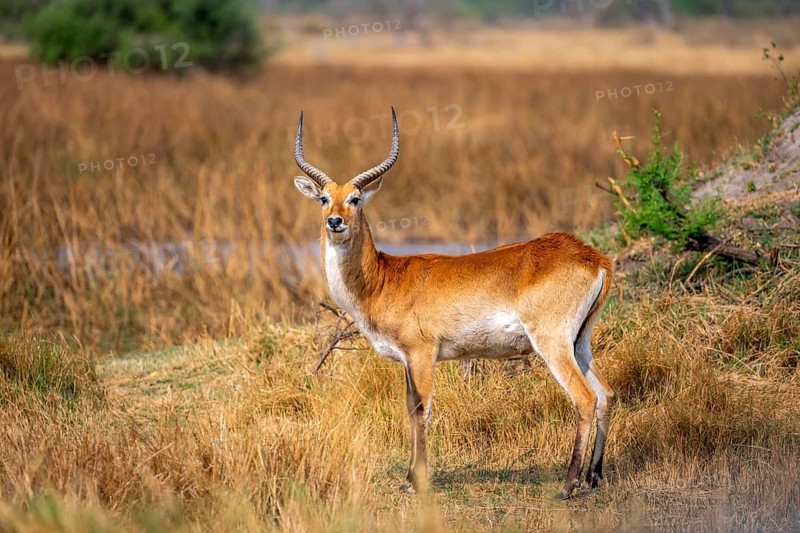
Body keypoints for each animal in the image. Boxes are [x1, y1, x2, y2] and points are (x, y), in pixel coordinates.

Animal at [293, 108, 614, 499]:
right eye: (324, 198)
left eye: (355, 198)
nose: (335, 221)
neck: (383, 278)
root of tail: (594, 257)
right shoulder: (407, 360)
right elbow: (409, 407)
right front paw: (409, 478)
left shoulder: (421, 354)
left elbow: (422, 410)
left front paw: (416, 482)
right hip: (580, 342)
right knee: (606, 393)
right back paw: (593, 476)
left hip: (552, 343)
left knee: (584, 397)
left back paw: (568, 486)